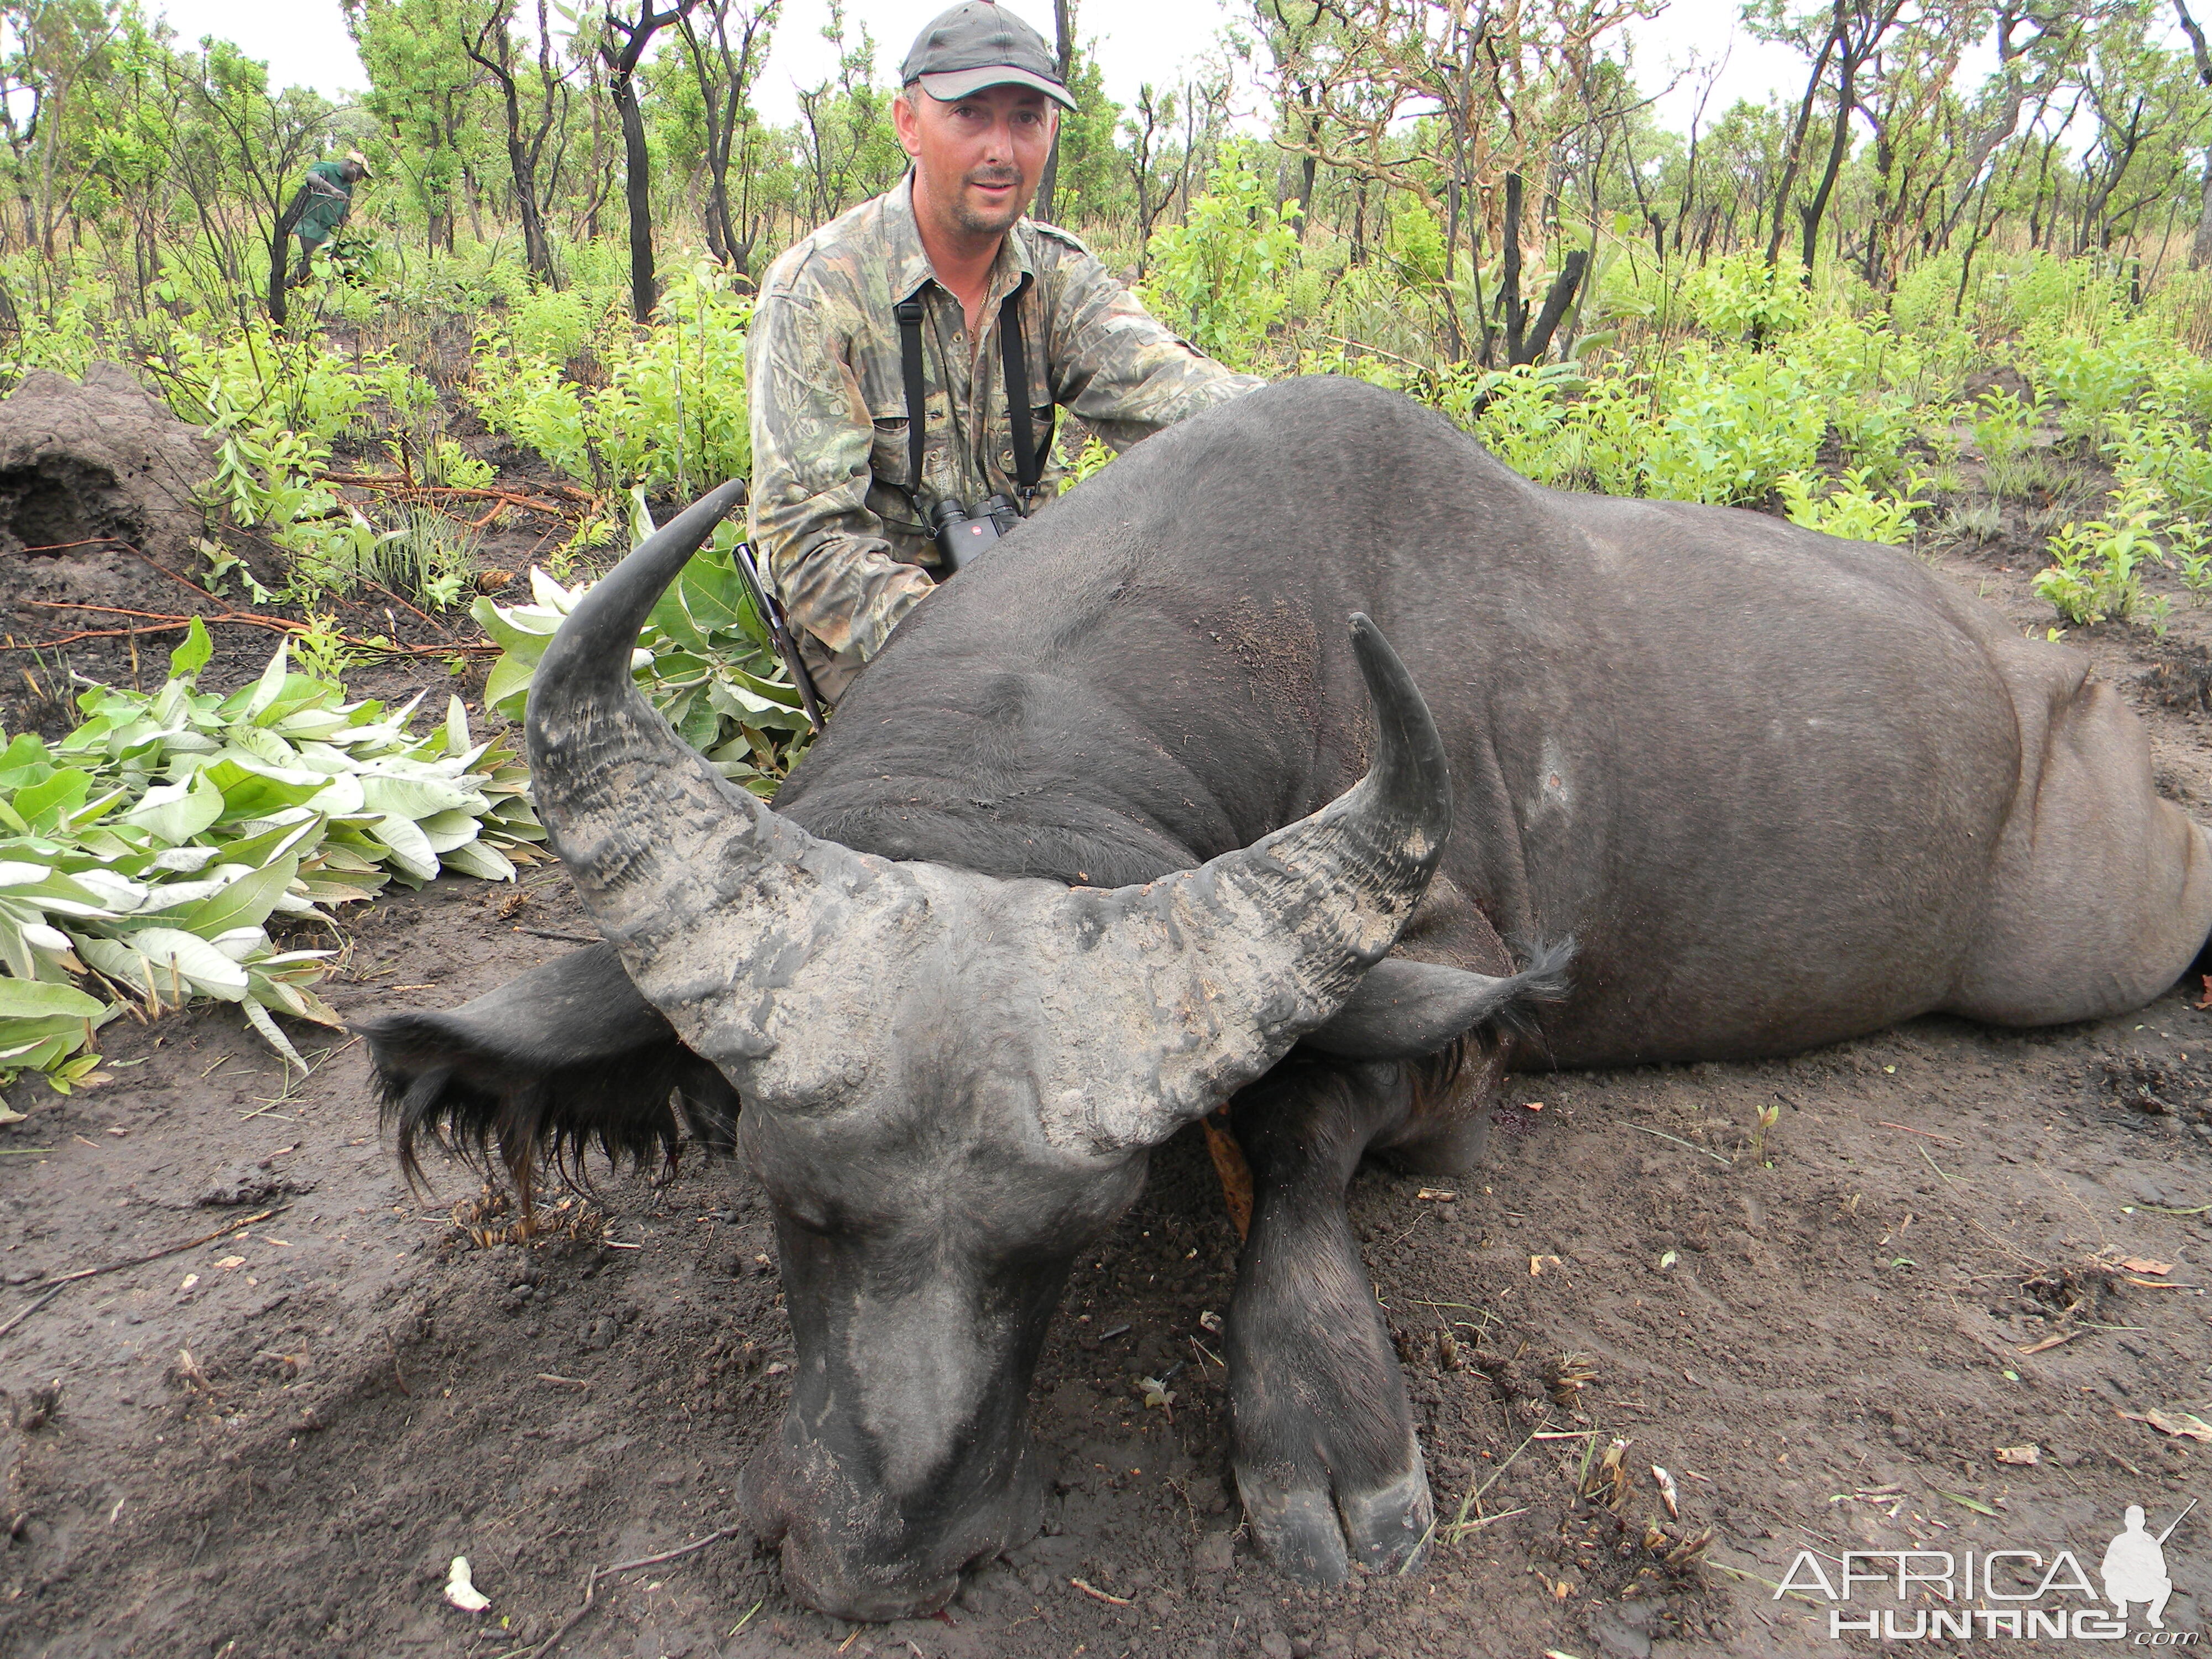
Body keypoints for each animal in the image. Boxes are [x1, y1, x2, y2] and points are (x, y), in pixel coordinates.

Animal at [367, 376, 2212, 1628]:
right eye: (780, 1194)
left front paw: (1323, 1429)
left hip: (2090, 934)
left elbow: (1305, 1133)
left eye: (1084, 1231)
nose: (883, 1548)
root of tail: (2031, 676)